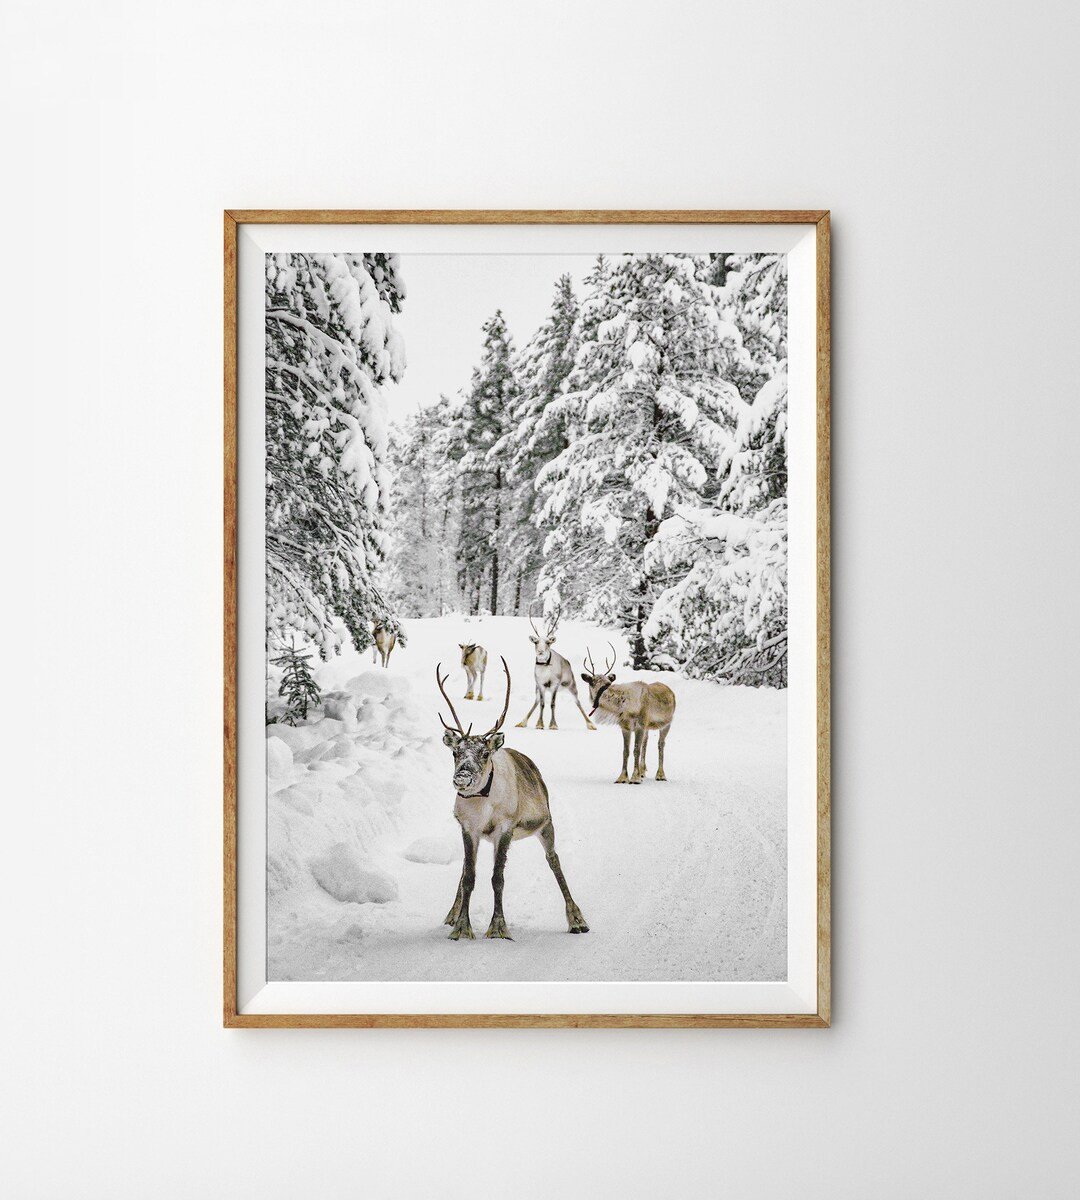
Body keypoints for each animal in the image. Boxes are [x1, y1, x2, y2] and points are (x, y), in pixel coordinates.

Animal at [436, 657, 589, 941]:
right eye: (455, 752)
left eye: (484, 753)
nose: (462, 776)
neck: (482, 802)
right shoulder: (469, 828)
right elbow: (469, 876)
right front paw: (461, 927)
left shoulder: (505, 828)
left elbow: (498, 878)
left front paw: (498, 928)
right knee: (464, 870)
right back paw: (451, 915)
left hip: (546, 824)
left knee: (554, 861)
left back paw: (577, 920)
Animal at [580, 643, 676, 784]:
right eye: (592, 681)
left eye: (607, 682)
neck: (624, 706)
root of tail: (671, 691)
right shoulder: (625, 727)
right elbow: (626, 751)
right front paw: (622, 777)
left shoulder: (640, 725)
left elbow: (636, 749)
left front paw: (634, 778)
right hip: (648, 727)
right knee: (646, 743)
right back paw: (643, 772)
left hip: (666, 724)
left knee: (660, 745)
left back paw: (660, 775)